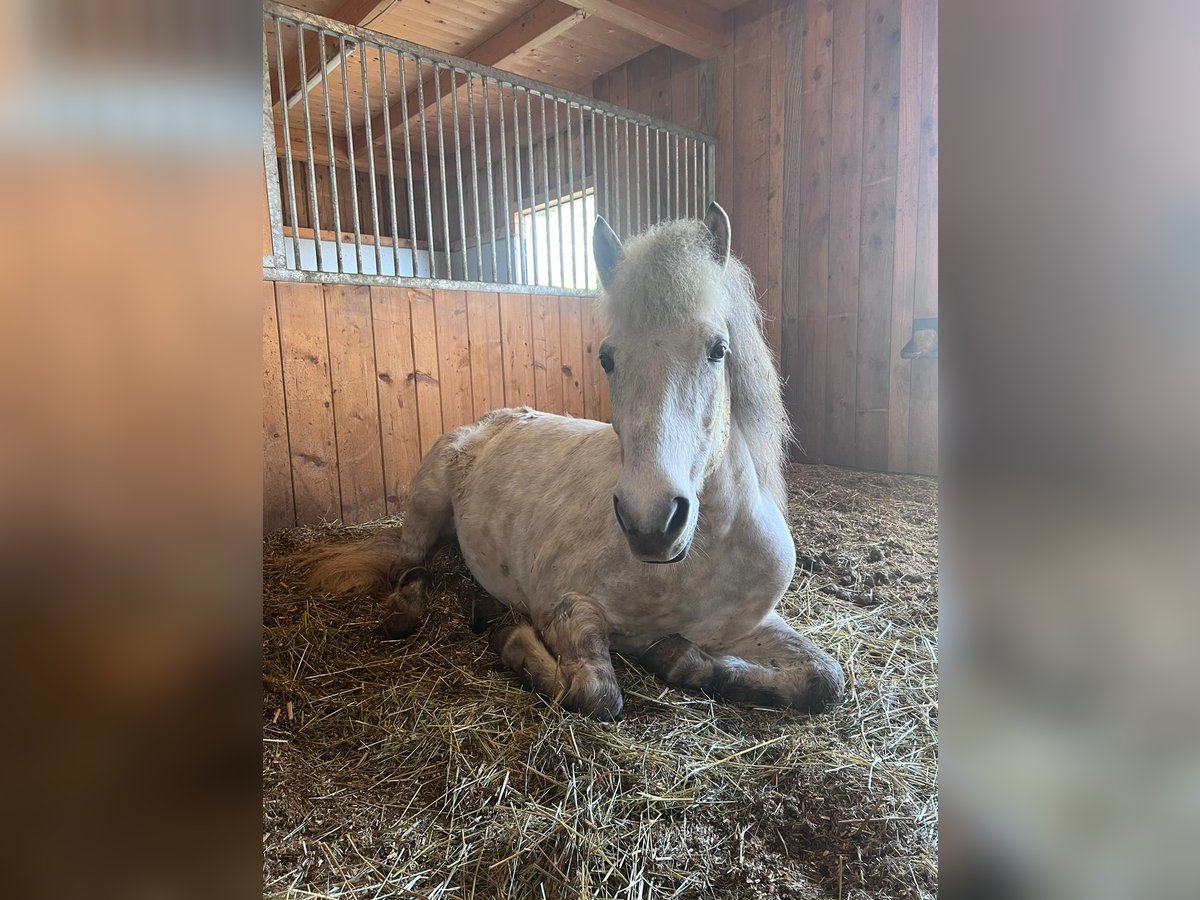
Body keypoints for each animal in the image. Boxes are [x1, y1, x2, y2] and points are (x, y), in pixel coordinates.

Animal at [300, 200, 844, 724]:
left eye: (718, 349)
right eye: (607, 358)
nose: (651, 523)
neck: (692, 563)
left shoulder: (749, 625)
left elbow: (825, 678)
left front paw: (679, 658)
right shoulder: (567, 607)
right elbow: (595, 693)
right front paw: (512, 639)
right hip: (424, 515)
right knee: (408, 566)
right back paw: (417, 609)